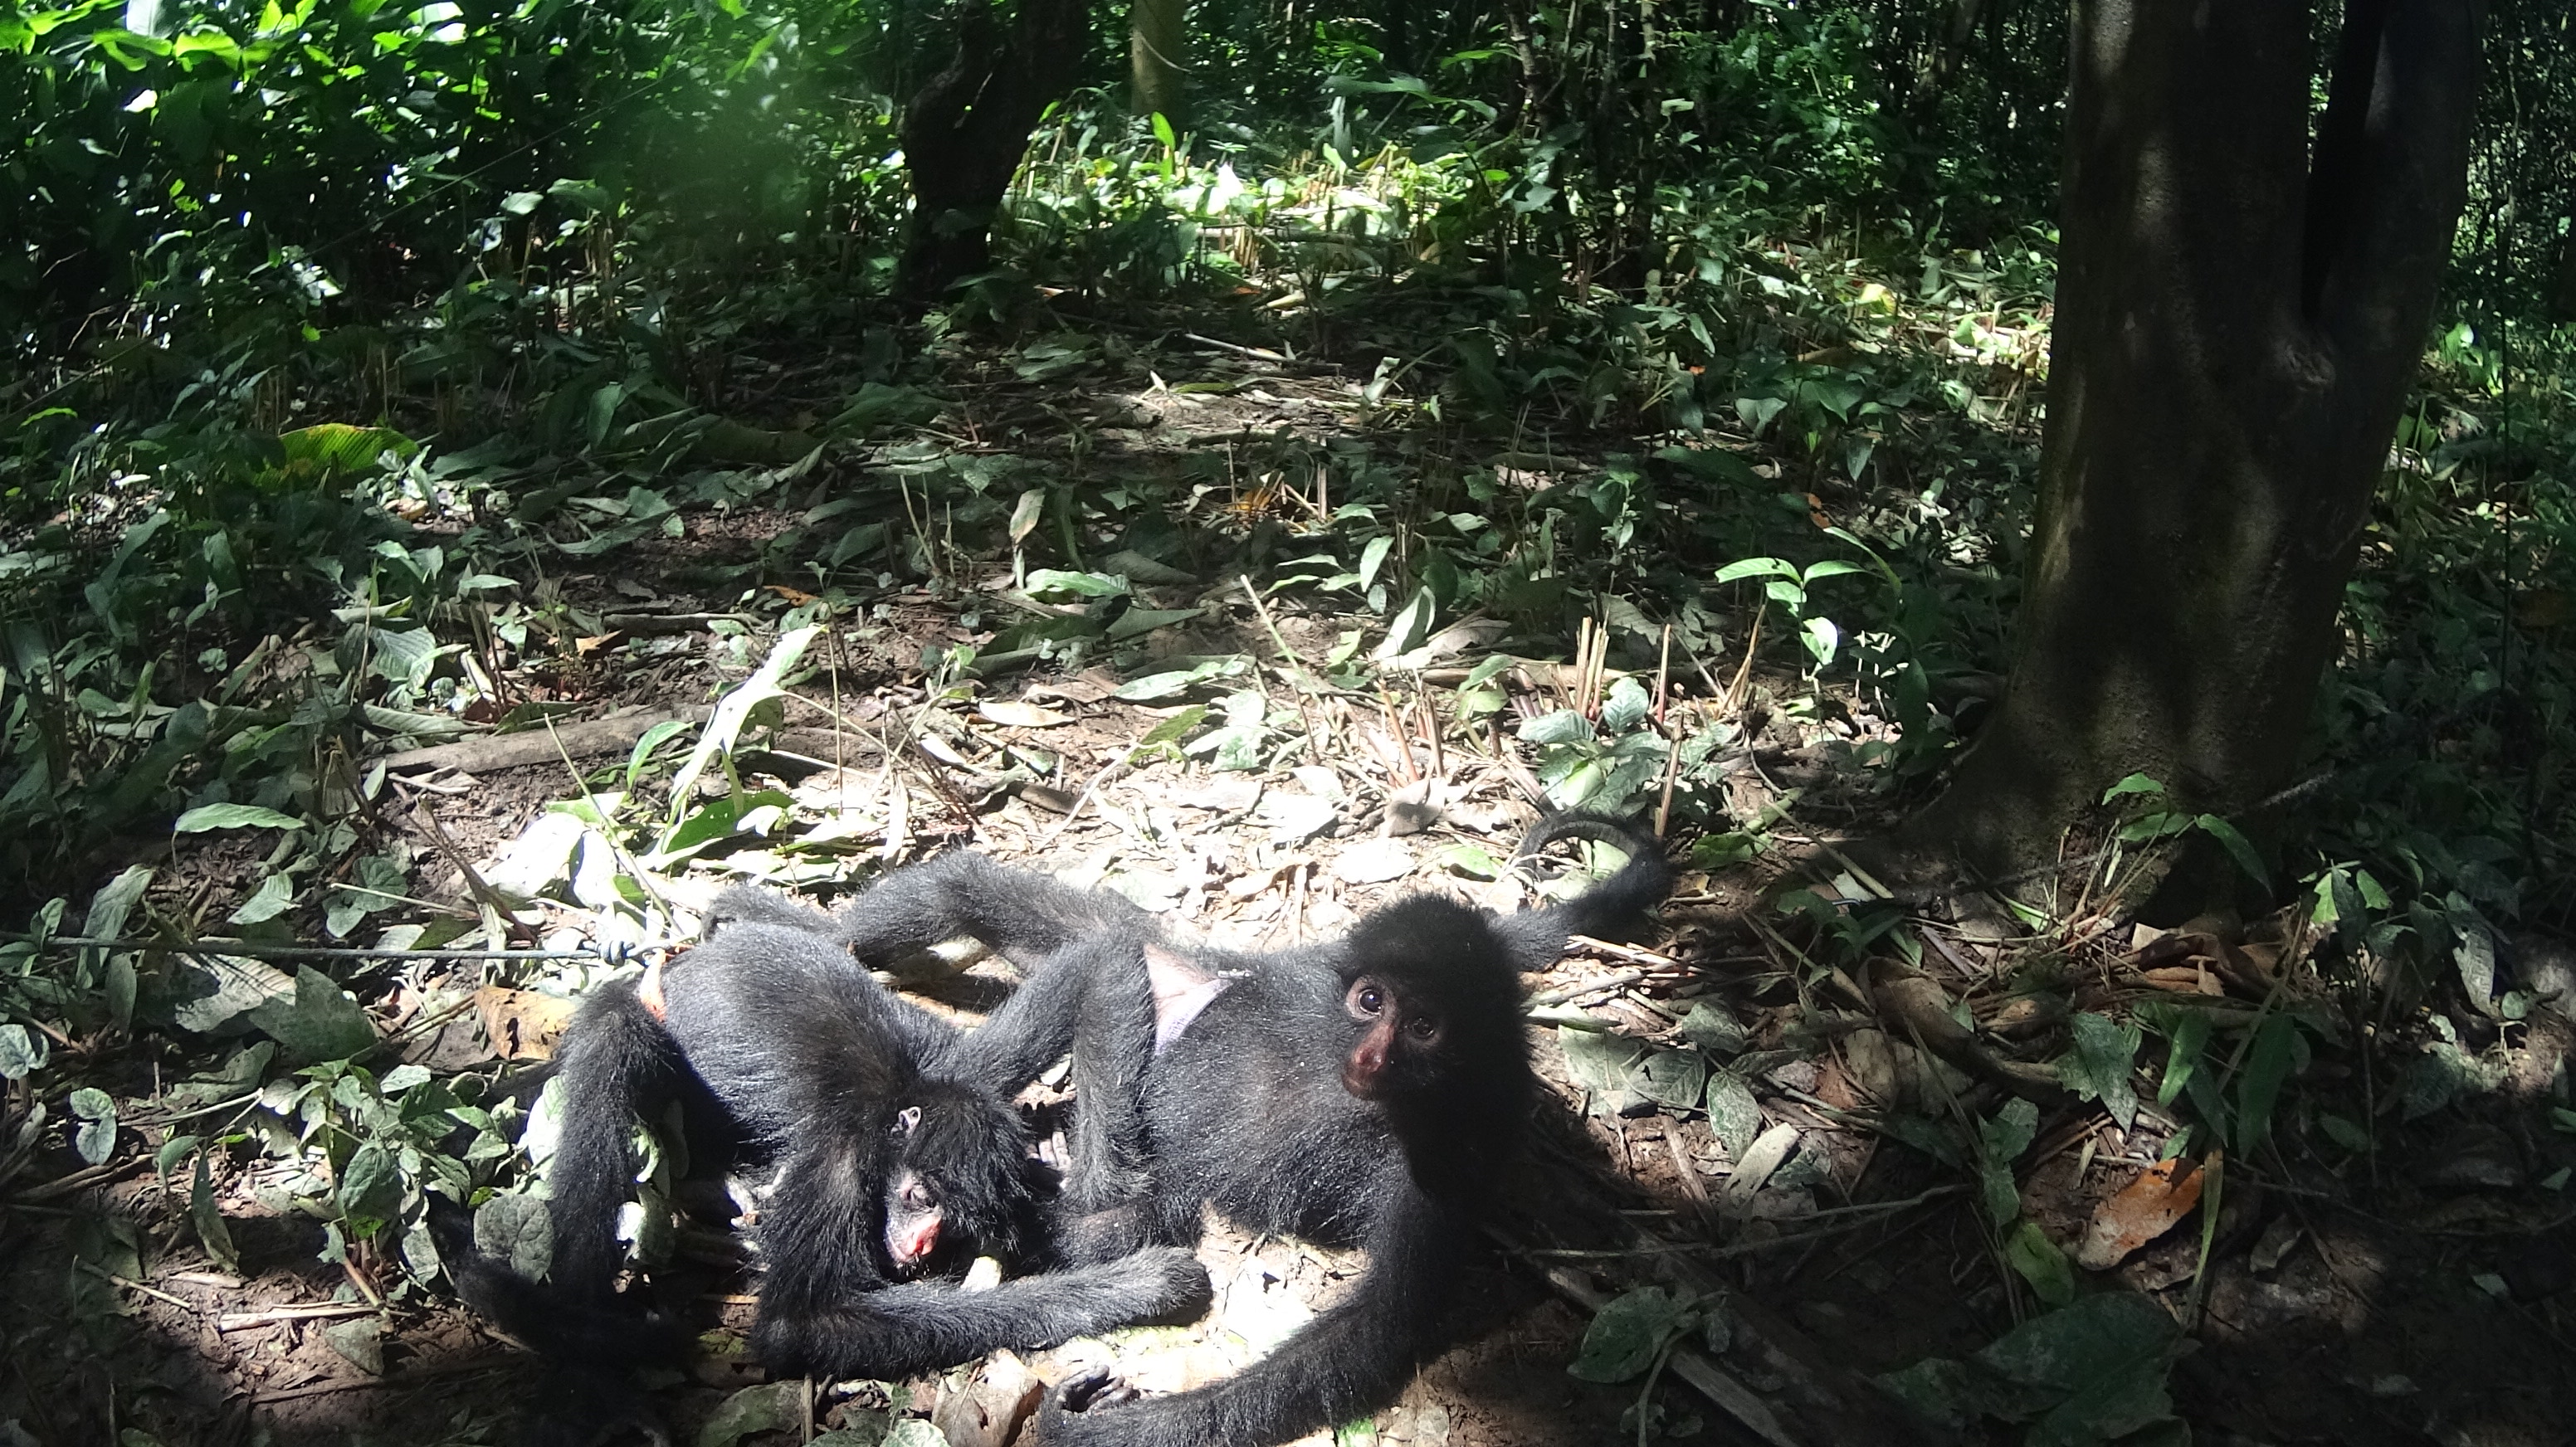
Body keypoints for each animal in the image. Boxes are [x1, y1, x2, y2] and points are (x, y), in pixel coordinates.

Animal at [439, 919, 1214, 1410]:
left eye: (952, 1219)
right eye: (917, 1197)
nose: (921, 1246)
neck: (891, 1106)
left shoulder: (968, 1074)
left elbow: (1103, 963)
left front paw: (1096, 1201)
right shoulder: (841, 1157)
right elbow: (800, 1327)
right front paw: (1142, 1281)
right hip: (648, 1025)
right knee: (615, 1037)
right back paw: (587, 1362)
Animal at [712, 812, 1673, 1447]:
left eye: (1425, 1025)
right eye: (1371, 1002)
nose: (1372, 1047)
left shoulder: (1456, 1154)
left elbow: (1366, 1336)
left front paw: (1098, 1428)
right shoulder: (1315, 967)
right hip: (1180, 970)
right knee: (983, 899)